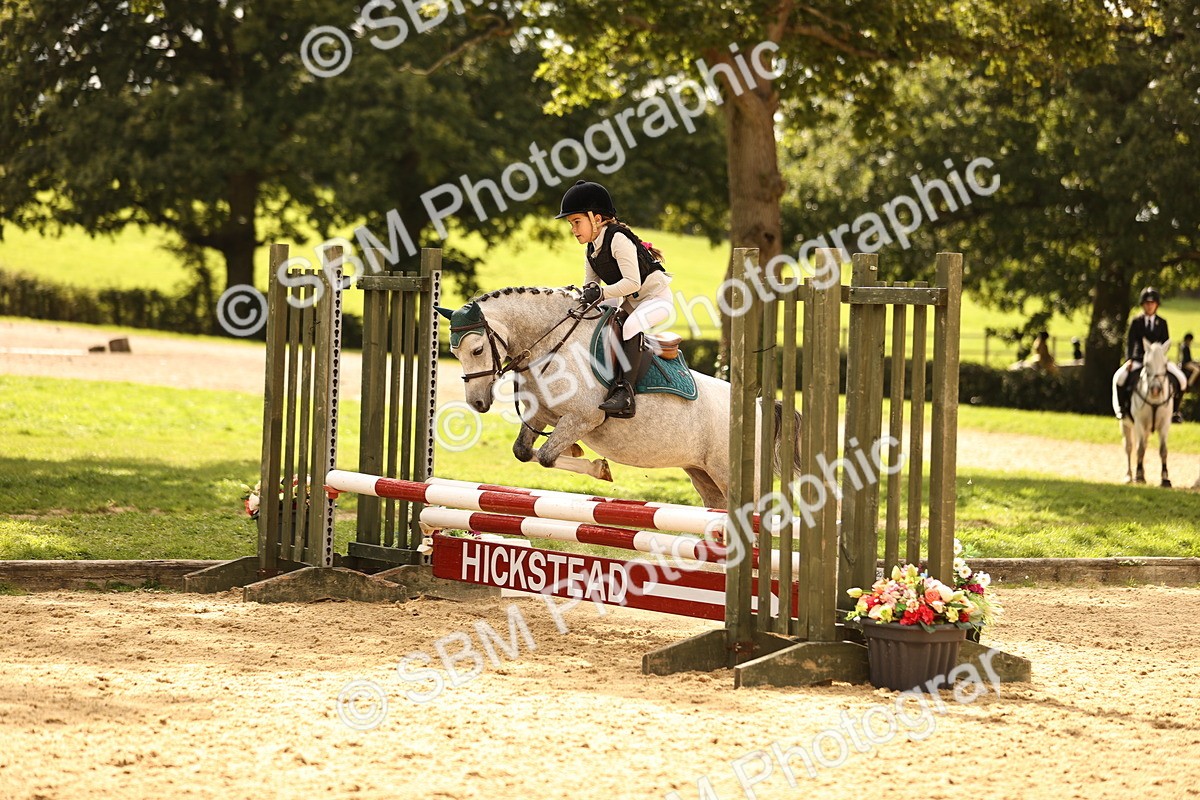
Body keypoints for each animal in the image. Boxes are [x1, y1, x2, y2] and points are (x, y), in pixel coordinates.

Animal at [438, 286, 801, 508]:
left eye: (477, 349)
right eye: (454, 353)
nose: (478, 403)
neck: (555, 343)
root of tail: (757, 406)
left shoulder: (582, 417)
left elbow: (546, 456)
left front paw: (600, 468)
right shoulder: (541, 415)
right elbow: (524, 452)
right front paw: (588, 460)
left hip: (734, 476)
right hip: (705, 476)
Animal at [1122, 339, 1174, 486]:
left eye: (1165, 364)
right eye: (1146, 364)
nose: (1155, 390)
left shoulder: (1165, 424)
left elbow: (1163, 450)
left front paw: (1165, 478)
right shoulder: (1139, 423)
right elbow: (1140, 449)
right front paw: (1139, 476)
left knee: (1143, 444)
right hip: (1126, 424)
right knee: (1129, 447)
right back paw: (1129, 475)